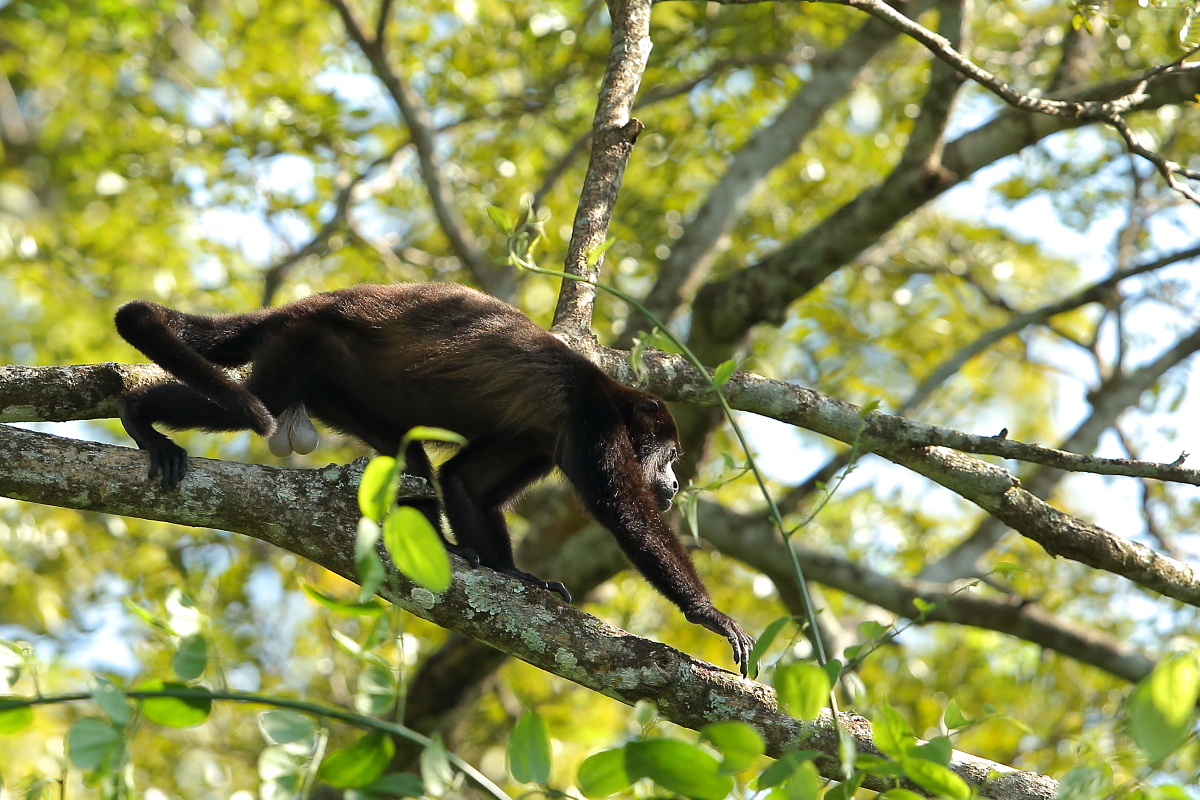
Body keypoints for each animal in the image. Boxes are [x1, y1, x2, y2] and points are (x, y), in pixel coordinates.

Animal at [114, 283, 754, 674]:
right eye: (669, 454)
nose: (673, 483)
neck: (616, 401)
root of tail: (303, 305)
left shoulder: (535, 440)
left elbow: (465, 482)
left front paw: (511, 574)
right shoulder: (592, 423)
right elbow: (626, 515)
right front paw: (710, 615)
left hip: (336, 385)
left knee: (411, 461)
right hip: (303, 346)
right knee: (256, 403)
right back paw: (138, 415)